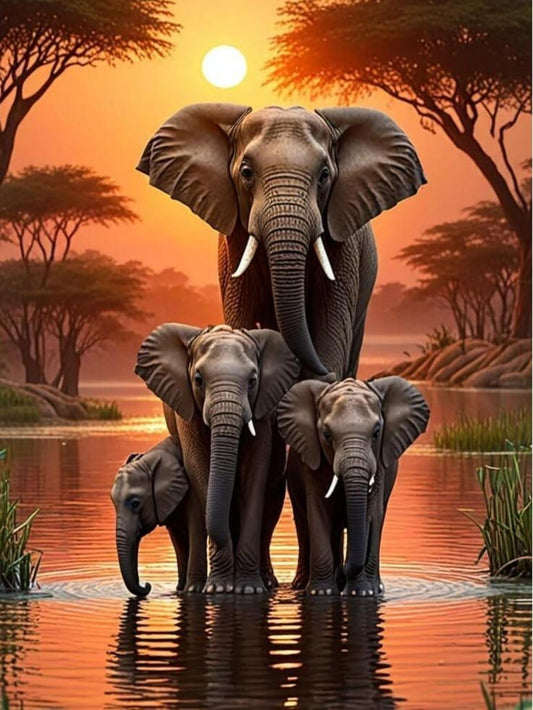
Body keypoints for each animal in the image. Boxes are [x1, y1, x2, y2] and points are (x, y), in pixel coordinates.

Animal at [111, 437, 206, 597]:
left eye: (135, 503)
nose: (147, 585)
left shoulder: (193, 491)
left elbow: (197, 530)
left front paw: (192, 591)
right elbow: (178, 539)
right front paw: (179, 590)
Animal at [135, 323, 300, 594]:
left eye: (253, 381)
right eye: (198, 380)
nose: (146, 584)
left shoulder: (261, 410)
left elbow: (255, 474)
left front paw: (248, 590)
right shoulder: (186, 406)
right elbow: (199, 467)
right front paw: (220, 589)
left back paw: (267, 583)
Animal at [137, 103, 426, 379]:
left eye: (324, 175)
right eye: (246, 173)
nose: (324, 371)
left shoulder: (344, 243)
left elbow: (331, 320)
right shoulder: (235, 241)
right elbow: (240, 311)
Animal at [276, 376, 430, 596]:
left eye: (376, 433)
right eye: (326, 434)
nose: (342, 572)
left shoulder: (380, 462)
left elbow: (371, 513)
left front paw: (363, 593)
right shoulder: (312, 461)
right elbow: (319, 512)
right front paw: (321, 593)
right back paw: (303, 584)